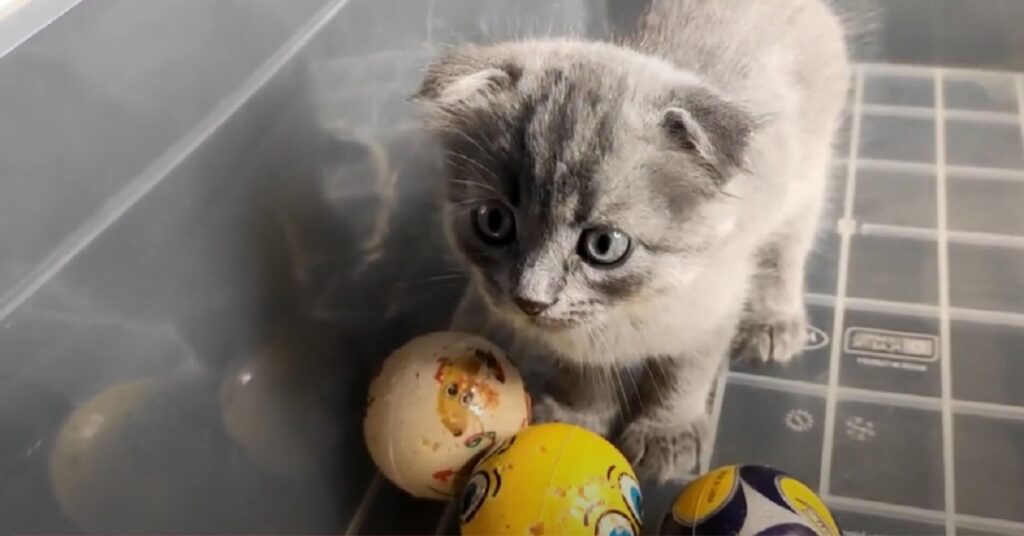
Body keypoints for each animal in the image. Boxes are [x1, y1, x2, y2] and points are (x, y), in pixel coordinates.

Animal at [413, 0, 847, 481]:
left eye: (604, 245)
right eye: (493, 221)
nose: (531, 300)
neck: (630, 313)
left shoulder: (717, 300)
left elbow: (685, 373)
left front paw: (668, 432)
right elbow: (590, 374)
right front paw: (578, 416)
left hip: (805, 185)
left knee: (786, 255)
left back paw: (773, 322)